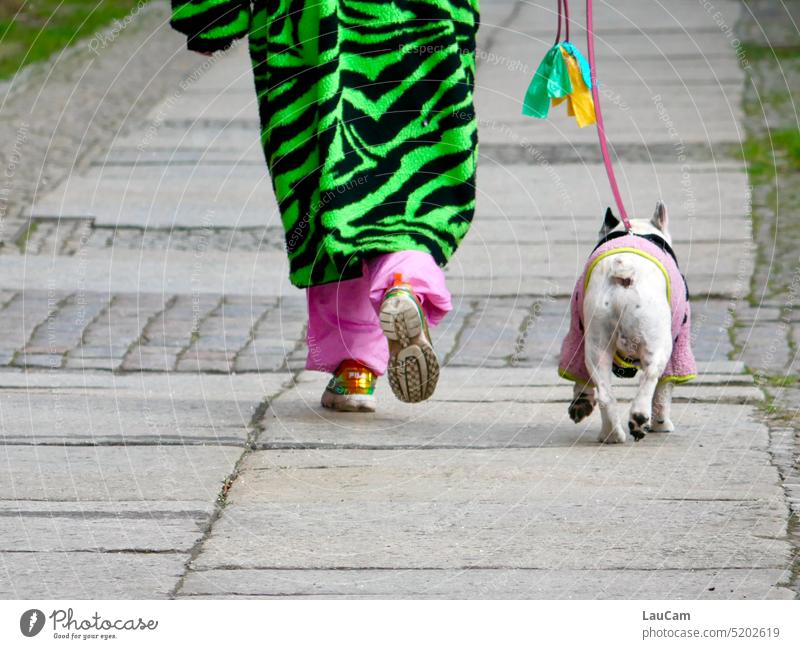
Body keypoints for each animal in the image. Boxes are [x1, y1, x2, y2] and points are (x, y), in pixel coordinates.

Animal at [560, 202, 696, 442]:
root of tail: (624, 271)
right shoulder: (678, 344)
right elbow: (663, 390)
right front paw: (662, 424)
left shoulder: (577, 332)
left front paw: (581, 403)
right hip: (659, 343)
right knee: (650, 377)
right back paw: (639, 418)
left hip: (596, 340)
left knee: (604, 390)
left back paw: (611, 435)